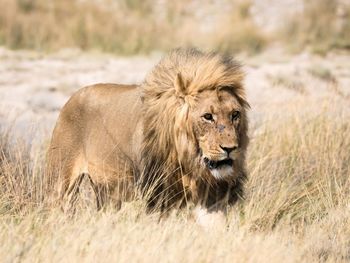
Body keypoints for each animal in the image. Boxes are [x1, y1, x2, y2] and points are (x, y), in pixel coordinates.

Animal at [46, 49, 249, 214]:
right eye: (207, 116)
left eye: (235, 114)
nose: (230, 149)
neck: (188, 158)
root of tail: (72, 97)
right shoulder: (157, 194)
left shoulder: (212, 197)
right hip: (61, 181)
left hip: (107, 191)